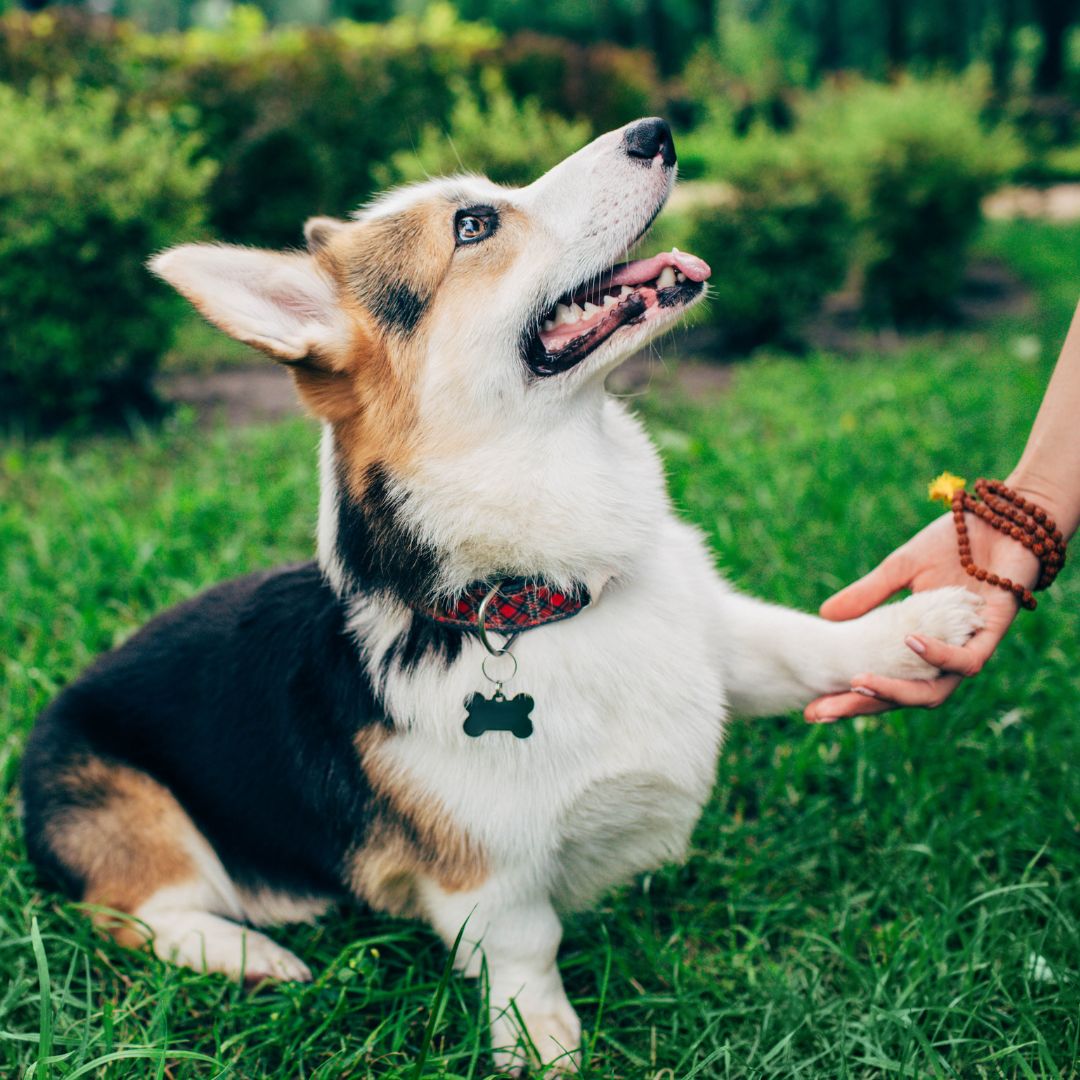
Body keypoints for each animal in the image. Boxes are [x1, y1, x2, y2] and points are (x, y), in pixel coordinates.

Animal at [21, 120, 984, 1071]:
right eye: (475, 225)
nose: (657, 130)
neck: (549, 598)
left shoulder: (721, 638)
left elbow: (807, 645)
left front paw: (932, 620)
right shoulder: (486, 874)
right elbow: (528, 948)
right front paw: (542, 1039)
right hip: (127, 804)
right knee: (135, 911)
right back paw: (251, 952)